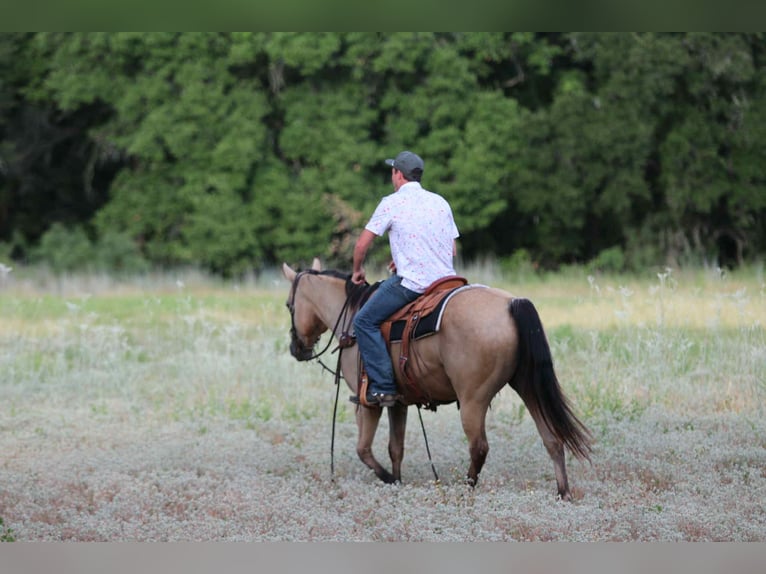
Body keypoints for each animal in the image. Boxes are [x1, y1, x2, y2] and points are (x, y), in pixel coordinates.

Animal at [281, 258, 592, 500]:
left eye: (288, 305)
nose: (296, 349)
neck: (352, 318)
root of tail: (511, 304)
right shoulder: (398, 402)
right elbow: (395, 448)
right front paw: (398, 480)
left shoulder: (366, 401)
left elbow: (364, 449)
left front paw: (389, 479)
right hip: (528, 386)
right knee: (552, 438)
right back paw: (563, 493)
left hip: (473, 399)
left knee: (479, 447)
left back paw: (466, 488)